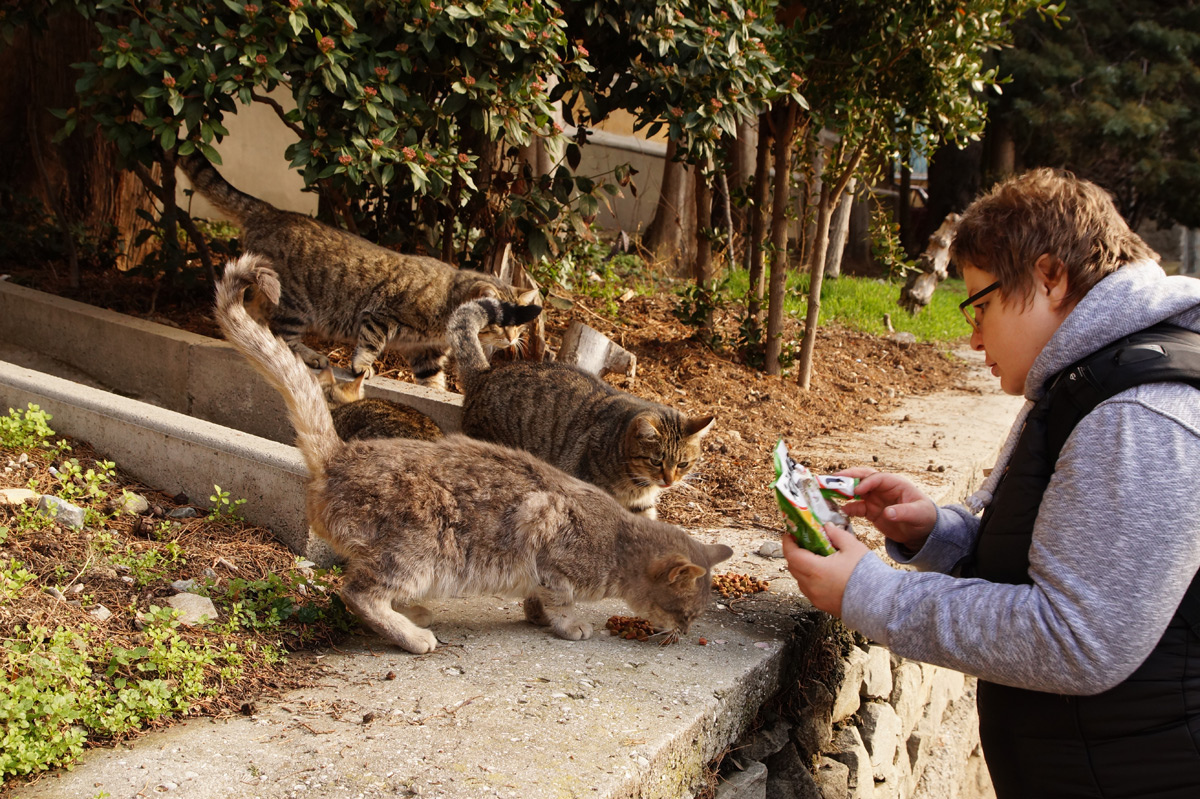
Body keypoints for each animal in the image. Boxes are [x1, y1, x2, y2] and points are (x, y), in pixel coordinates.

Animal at [178, 153, 540, 386]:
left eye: (519, 326)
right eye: (501, 324)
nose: (513, 340)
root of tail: (270, 211)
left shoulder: (427, 353)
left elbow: (433, 380)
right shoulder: (381, 314)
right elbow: (369, 345)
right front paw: (362, 366)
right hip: (294, 304)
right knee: (281, 334)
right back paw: (312, 355)